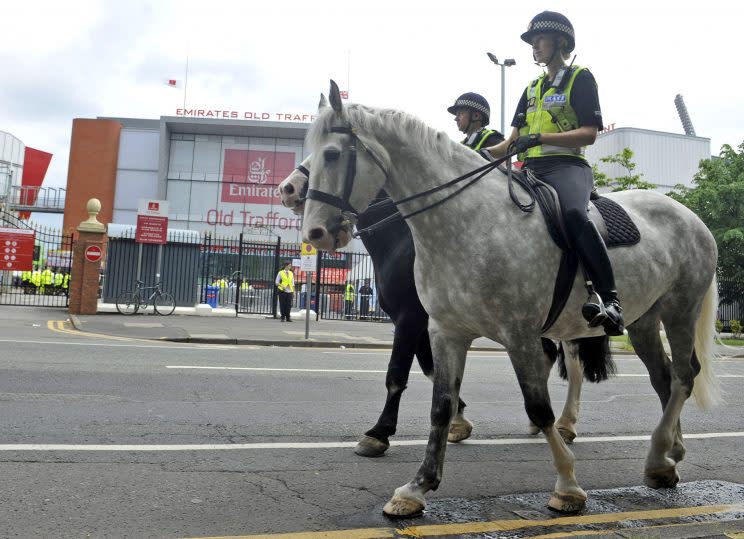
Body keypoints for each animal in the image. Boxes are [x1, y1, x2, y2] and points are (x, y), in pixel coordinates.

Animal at [300, 82, 716, 516]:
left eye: (331, 154)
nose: (313, 233)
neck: (467, 221)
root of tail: (690, 215)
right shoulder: (445, 331)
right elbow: (440, 404)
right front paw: (418, 486)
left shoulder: (515, 334)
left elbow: (536, 405)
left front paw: (567, 485)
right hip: (644, 321)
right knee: (662, 378)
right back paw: (667, 457)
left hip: (680, 310)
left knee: (683, 376)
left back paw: (655, 453)